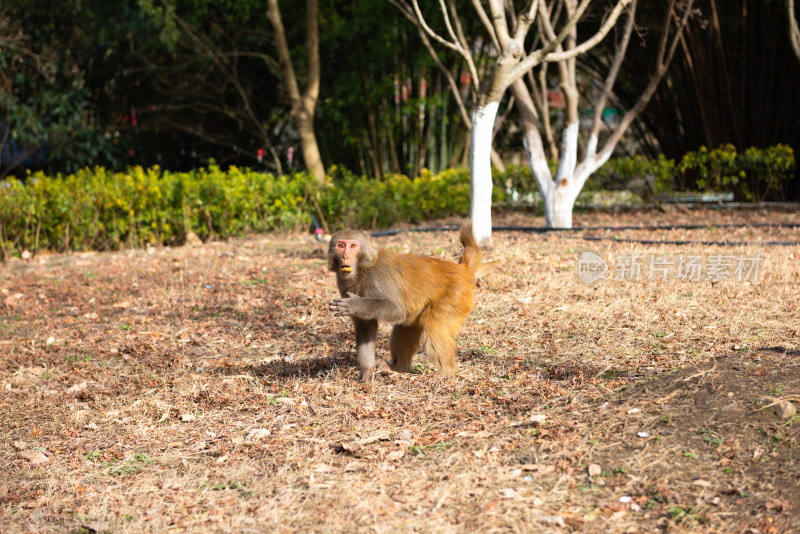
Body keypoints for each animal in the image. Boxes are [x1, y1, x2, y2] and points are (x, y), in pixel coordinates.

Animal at [326, 224, 482, 384]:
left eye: (352, 246)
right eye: (340, 245)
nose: (345, 256)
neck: (362, 270)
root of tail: (462, 270)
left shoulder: (379, 276)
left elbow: (397, 309)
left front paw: (355, 305)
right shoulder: (343, 284)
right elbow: (366, 326)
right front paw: (367, 372)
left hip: (455, 295)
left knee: (432, 328)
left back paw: (448, 374)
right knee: (407, 326)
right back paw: (398, 367)